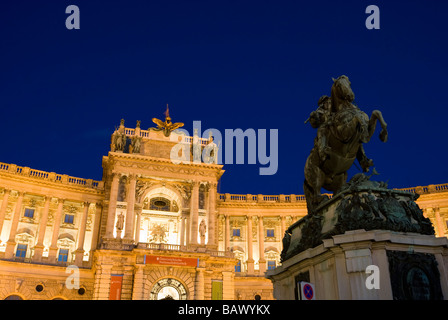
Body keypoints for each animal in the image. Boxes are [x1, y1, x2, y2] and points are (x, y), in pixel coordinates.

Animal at [304, 76, 388, 214]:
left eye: (349, 83)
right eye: (338, 85)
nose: (350, 96)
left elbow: (376, 113)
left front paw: (383, 134)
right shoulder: (343, 133)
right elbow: (356, 120)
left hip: (342, 176)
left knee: (336, 191)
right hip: (316, 173)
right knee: (316, 194)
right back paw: (322, 199)